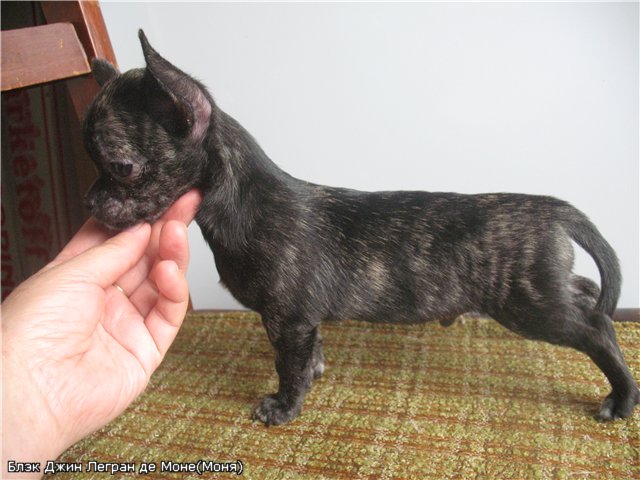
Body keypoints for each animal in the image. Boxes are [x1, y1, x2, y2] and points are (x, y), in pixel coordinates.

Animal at [84, 30, 638, 425]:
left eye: (122, 166)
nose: (89, 202)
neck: (242, 199)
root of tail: (553, 210)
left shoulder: (286, 319)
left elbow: (287, 364)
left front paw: (283, 407)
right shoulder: (302, 322)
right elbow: (307, 355)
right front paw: (313, 375)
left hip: (528, 305)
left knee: (597, 327)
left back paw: (622, 398)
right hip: (543, 287)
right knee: (586, 291)